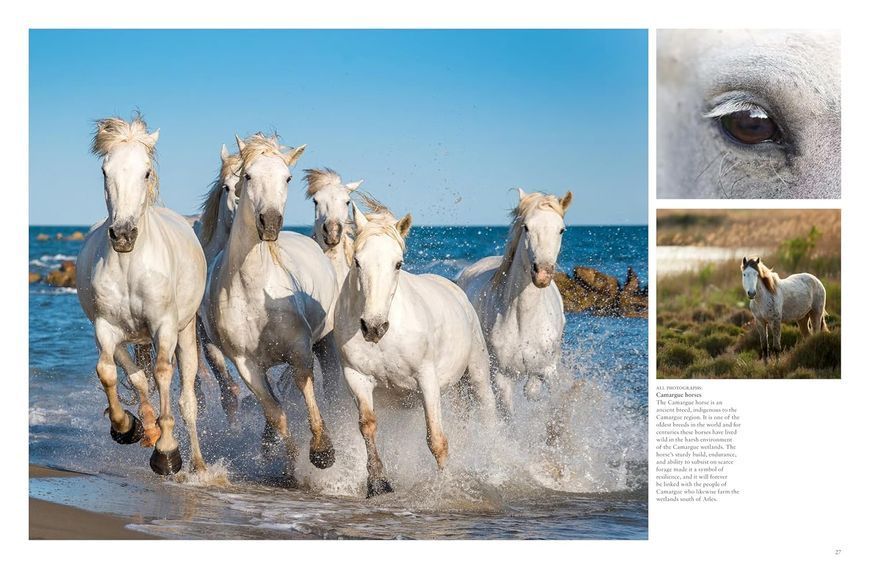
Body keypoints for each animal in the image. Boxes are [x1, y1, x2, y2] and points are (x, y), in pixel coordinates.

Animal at [75, 115, 208, 475]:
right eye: (105, 171)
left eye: (146, 172)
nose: (123, 234)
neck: (129, 265)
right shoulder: (105, 327)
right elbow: (109, 373)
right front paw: (126, 427)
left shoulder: (164, 326)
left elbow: (163, 373)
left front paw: (167, 452)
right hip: (127, 338)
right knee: (136, 378)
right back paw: (146, 428)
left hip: (185, 332)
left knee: (187, 399)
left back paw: (199, 465)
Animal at [205, 133, 337, 483]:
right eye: (248, 176)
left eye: (287, 178)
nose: (271, 222)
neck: (254, 291)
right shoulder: (246, 363)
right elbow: (276, 412)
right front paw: (291, 466)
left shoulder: (300, 348)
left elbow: (305, 388)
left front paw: (323, 452)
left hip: (326, 344)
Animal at [334, 198, 498, 498]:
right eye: (357, 261)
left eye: (398, 263)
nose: (374, 327)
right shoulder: (356, 377)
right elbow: (368, 426)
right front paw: (378, 484)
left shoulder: (426, 378)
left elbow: (437, 439)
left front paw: (445, 487)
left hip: (477, 373)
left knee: (487, 411)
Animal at [456, 189, 572, 416]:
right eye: (526, 227)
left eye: (561, 230)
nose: (543, 274)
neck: (524, 319)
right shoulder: (502, 376)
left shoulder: (550, 369)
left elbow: (537, 391)